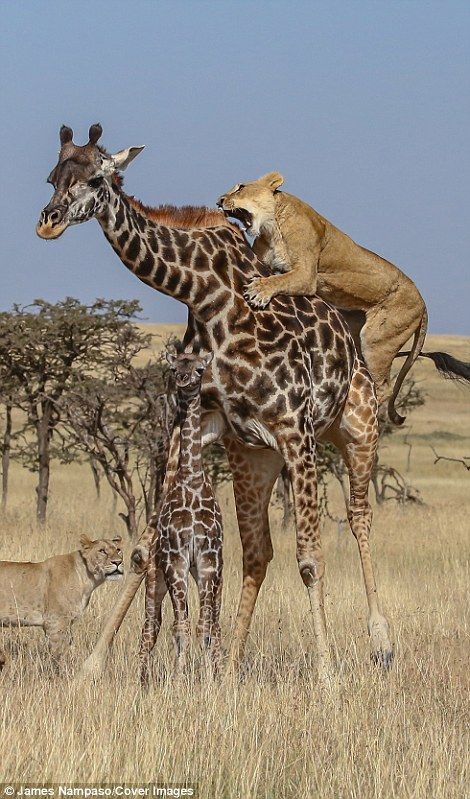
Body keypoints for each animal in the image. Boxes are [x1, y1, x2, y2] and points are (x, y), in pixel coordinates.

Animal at [35, 125, 392, 680]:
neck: (203, 294)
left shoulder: (295, 427)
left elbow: (311, 559)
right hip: (255, 457)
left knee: (358, 520)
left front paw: (329, 675)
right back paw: (232, 663)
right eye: (52, 176)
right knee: (258, 552)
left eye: (95, 177)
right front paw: (94, 664)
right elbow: (143, 549)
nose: (48, 223)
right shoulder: (199, 423)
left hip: (356, 430)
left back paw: (380, 640)